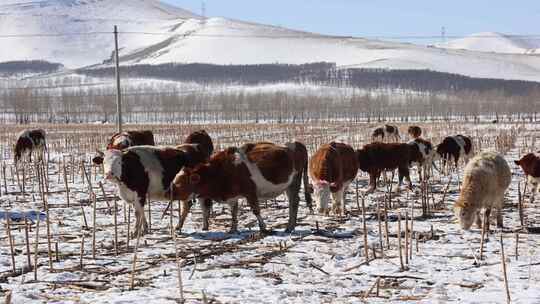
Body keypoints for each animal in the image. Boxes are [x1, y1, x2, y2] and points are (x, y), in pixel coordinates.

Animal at [171, 142, 310, 233]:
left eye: (181, 182)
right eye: (176, 179)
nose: (171, 192)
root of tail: (297, 144)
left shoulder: (250, 192)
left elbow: (256, 210)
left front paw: (263, 227)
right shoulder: (232, 196)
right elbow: (234, 212)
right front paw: (233, 229)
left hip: (295, 181)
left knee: (294, 202)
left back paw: (290, 227)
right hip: (288, 185)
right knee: (294, 201)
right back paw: (290, 226)